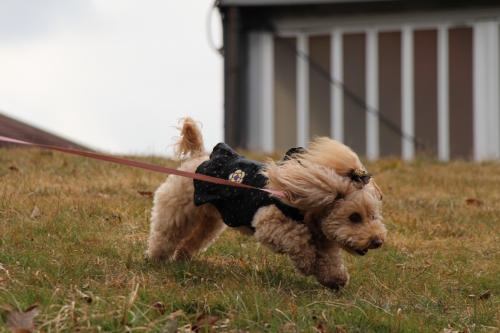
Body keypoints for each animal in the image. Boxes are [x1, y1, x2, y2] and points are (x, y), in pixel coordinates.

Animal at [148, 117, 386, 288]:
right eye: (354, 217)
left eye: (373, 216)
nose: (377, 241)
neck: (307, 205)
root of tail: (200, 155)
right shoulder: (269, 223)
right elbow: (298, 240)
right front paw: (308, 262)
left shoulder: (323, 237)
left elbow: (330, 258)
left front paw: (335, 279)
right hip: (178, 208)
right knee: (165, 233)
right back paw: (156, 259)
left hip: (210, 220)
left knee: (193, 240)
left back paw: (181, 258)